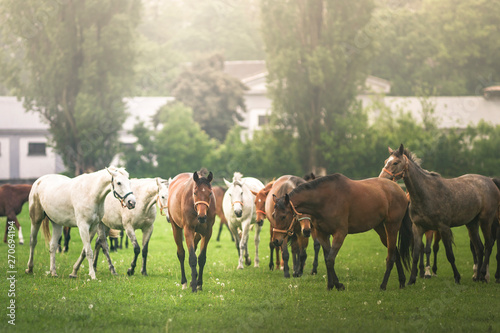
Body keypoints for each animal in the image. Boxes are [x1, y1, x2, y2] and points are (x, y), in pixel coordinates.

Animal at [274, 174, 410, 290]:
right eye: (274, 214)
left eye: (283, 216)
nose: (276, 240)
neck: (324, 200)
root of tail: (399, 190)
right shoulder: (322, 234)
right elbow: (327, 259)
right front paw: (331, 285)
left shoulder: (340, 234)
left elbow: (330, 260)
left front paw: (338, 285)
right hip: (380, 229)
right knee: (395, 252)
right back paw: (402, 281)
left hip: (392, 227)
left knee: (390, 257)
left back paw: (383, 285)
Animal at [378, 144, 500, 284]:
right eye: (385, 161)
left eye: (396, 162)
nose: (381, 179)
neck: (426, 194)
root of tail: (490, 180)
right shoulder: (417, 228)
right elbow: (416, 254)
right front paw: (412, 280)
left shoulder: (443, 228)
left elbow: (450, 255)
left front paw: (457, 277)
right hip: (471, 224)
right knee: (479, 248)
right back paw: (477, 277)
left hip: (486, 220)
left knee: (488, 244)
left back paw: (484, 274)